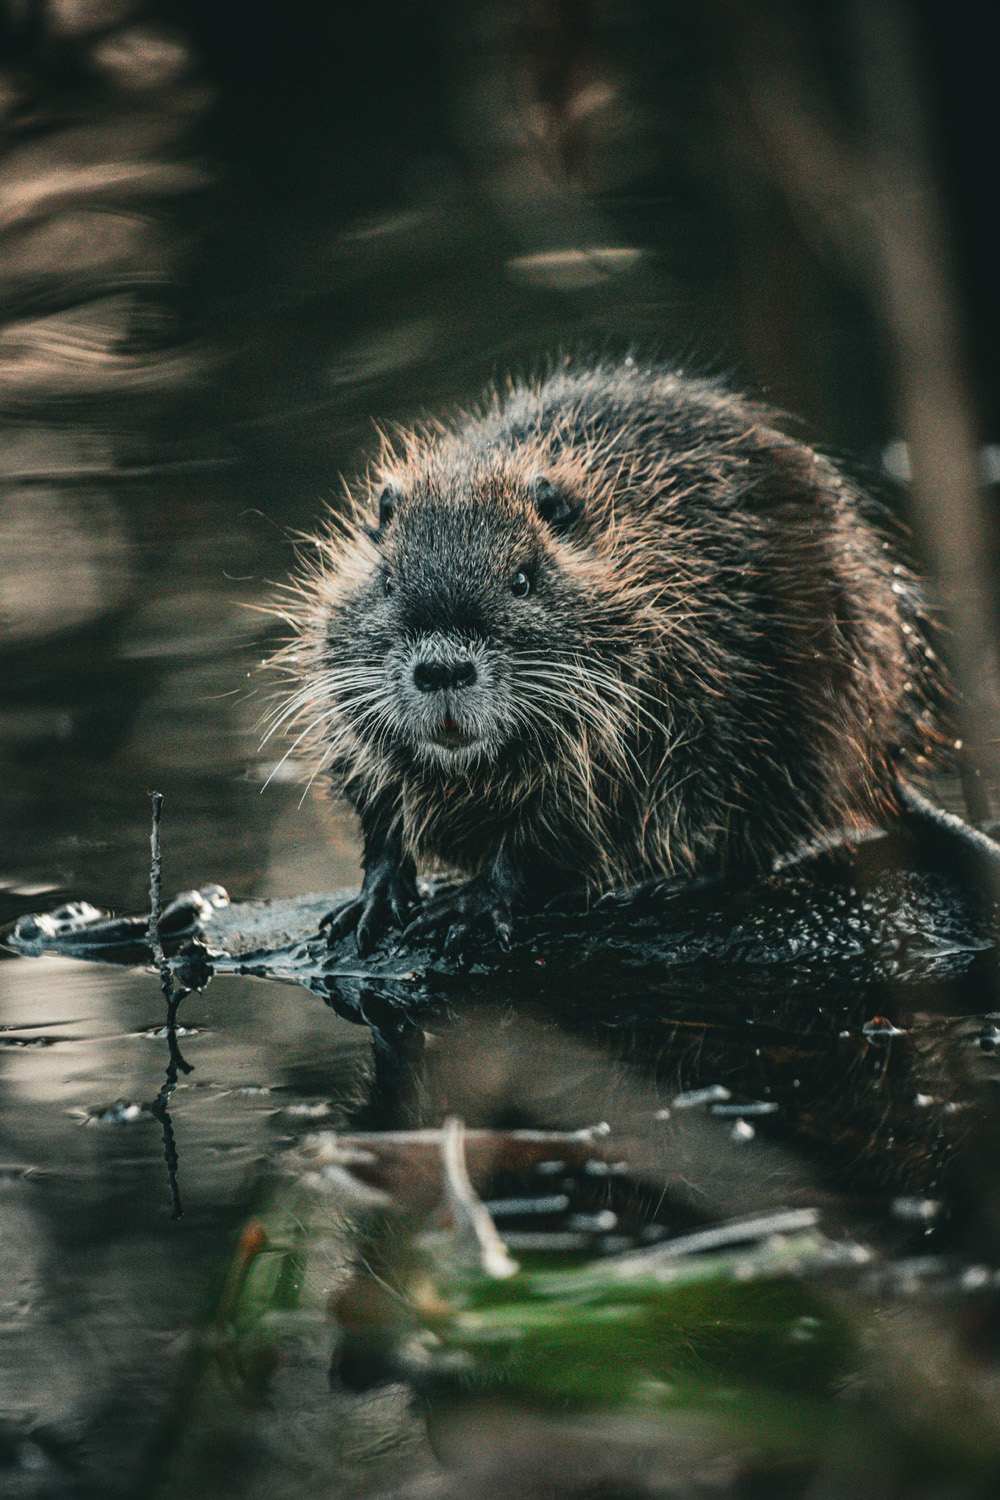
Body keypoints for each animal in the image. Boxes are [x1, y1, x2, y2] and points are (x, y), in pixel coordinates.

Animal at [268, 357, 947, 954]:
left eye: (523, 579)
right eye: (385, 581)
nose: (443, 671)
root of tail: (885, 760)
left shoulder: (641, 712)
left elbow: (551, 832)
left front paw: (470, 905)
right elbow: (377, 808)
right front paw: (372, 901)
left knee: (752, 838)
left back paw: (657, 884)